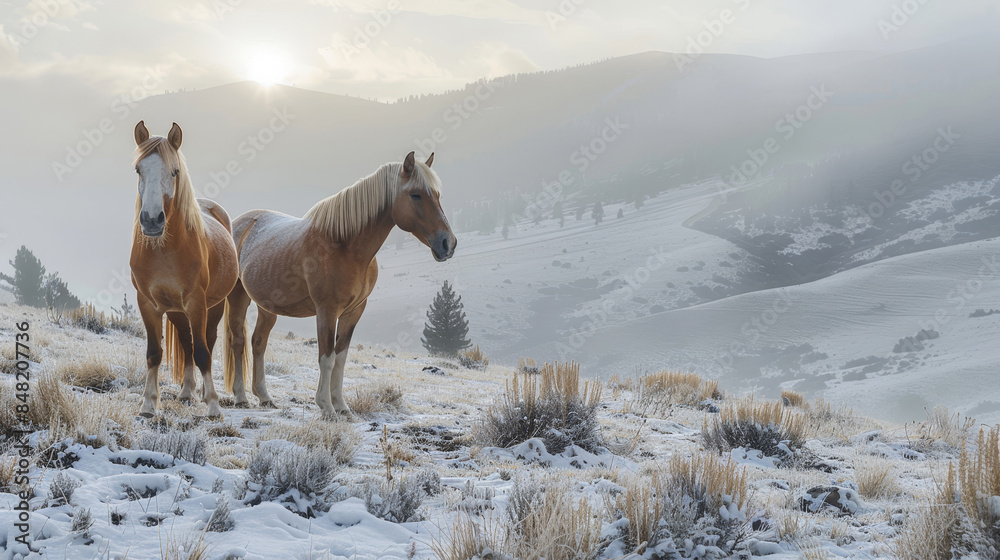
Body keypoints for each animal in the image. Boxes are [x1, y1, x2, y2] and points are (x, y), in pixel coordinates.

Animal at [129, 121, 241, 418]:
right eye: (138, 170)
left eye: (174, 171)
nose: (152, 221)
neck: (165, 250)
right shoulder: (148, 303)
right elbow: (154, 353)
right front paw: (148, 404)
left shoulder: (196, 302)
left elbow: (203, 353)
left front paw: (213, 405)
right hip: (176, 311)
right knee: (186, 342)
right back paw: (187, 391)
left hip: (212, 306)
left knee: (206, 343)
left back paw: (201, 393)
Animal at [222, 152, 456, 418]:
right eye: (416, 194)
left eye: (437, 195)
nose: (448, 243)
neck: (344, 245)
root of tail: (239, 223)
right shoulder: (327, 310)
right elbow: (327, 357)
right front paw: (326, 407)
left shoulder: (354, 311)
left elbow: (341, 357)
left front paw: (342, 406)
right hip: (238, 297)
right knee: (237, 341)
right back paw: (240, 397)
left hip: (267, 307)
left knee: (258, 342)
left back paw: (264, 397)